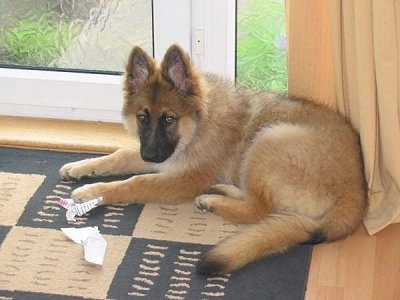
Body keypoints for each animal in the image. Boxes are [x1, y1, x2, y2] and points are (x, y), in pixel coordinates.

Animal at [57, 44, 368, 276]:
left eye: (168, 119)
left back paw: (214, 201)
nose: (150, 155)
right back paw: (222, 191)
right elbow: (120, 155)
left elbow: (135, 182)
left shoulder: (183, 177)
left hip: (269, 139)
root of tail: (356, 193)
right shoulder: (167, 157)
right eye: (142, 117)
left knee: (259, 209)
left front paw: (94, 192)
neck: (200, 123)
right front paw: (81, 168)